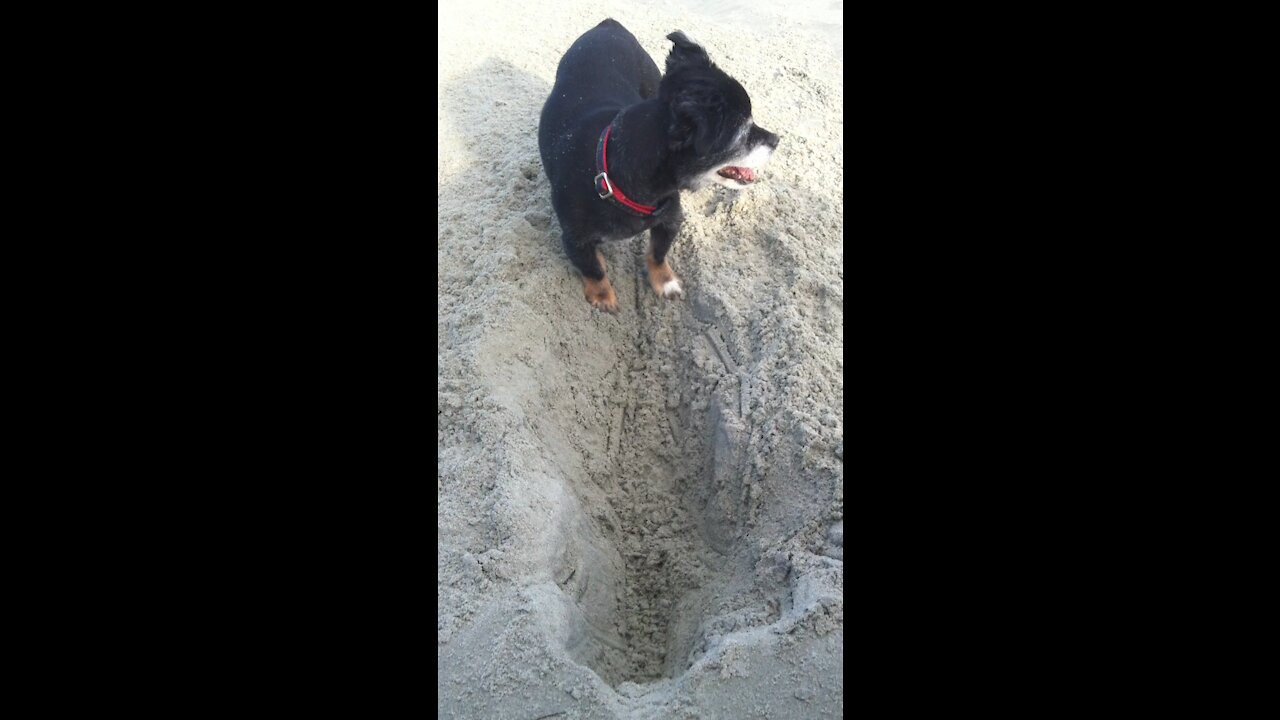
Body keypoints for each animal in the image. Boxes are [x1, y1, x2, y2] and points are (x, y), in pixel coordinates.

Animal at [537, 18, 778, 311]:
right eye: (744, 133)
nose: (777, 140)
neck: (613, 179)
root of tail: (609, 24)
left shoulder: (671, 219)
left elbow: (658, 254)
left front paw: (665, 282)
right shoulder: (574, 239)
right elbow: (592, 268)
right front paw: (603, 296)